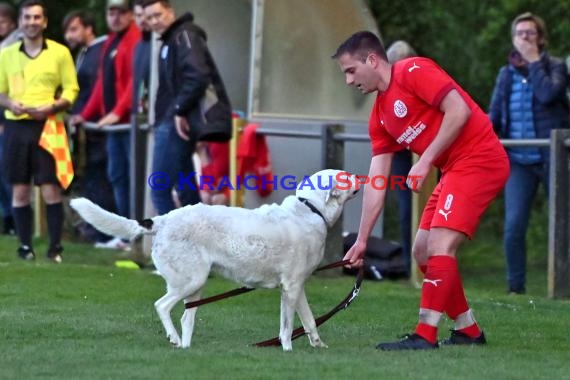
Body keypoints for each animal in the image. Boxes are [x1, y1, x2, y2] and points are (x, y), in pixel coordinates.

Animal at [70, 168, 356, 350]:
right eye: (343, 176)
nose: (361, 177)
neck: (311, 210)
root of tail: (162, 220)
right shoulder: (290, 288)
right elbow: (286, 329)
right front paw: (287, 351)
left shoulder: (298, 288)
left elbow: (309, 321)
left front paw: (318, 345)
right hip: (191, 281)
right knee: (162, 306)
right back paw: (174, 339)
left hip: (195, 286)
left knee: (185, 319)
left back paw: (185, 348)